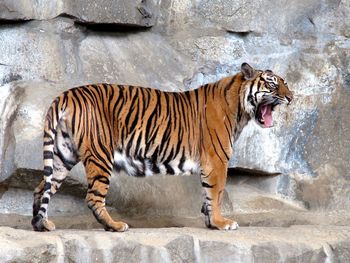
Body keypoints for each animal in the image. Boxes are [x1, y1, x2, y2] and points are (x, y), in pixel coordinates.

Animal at [31, 63, 292, 232]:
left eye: (286, 84)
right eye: (272, 84)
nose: (290, 97)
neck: (239, 108)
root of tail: (66, 94)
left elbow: (208, 195)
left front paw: (211, 223)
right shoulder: (217, 159)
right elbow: (216, 193)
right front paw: (221, 223)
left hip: (62, 154)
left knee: (42, 187)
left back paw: (40, 224)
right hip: (100, 155)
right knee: (93, 197)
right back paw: (115, 226)